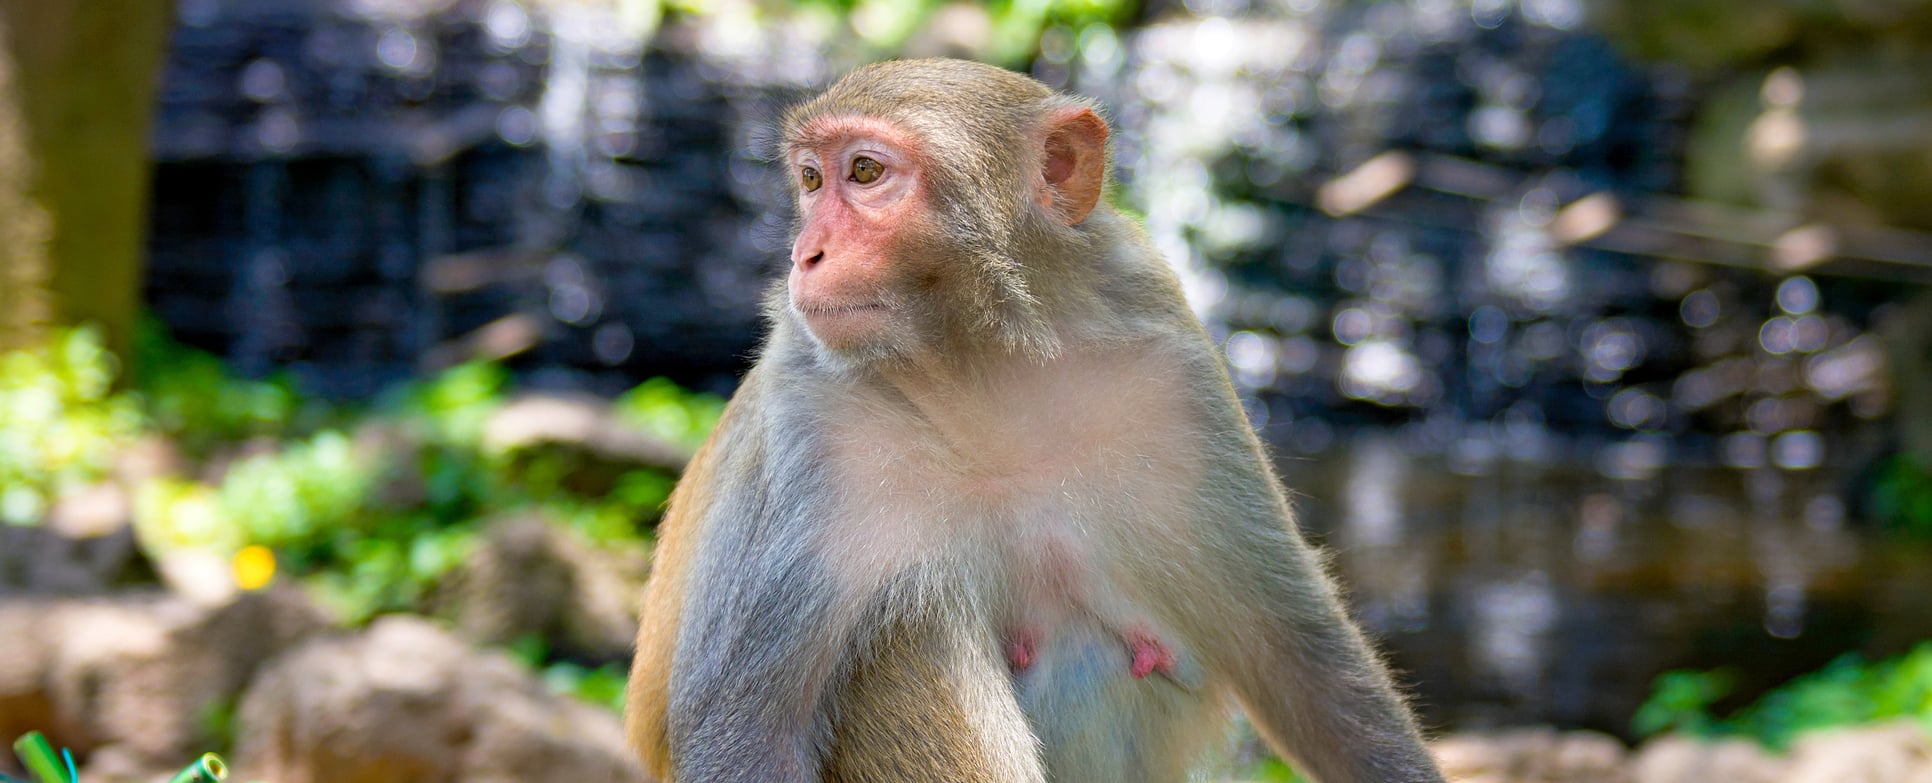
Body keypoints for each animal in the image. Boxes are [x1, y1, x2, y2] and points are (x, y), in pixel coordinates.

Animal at [626, 58, 1446, 783]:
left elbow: (1300, 656)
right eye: (809, 179)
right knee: (911, 624)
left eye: (862, 172)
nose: (806, 253)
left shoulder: (1173, 373)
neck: (984, 376)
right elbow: (746, 728)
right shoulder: (808, 426)